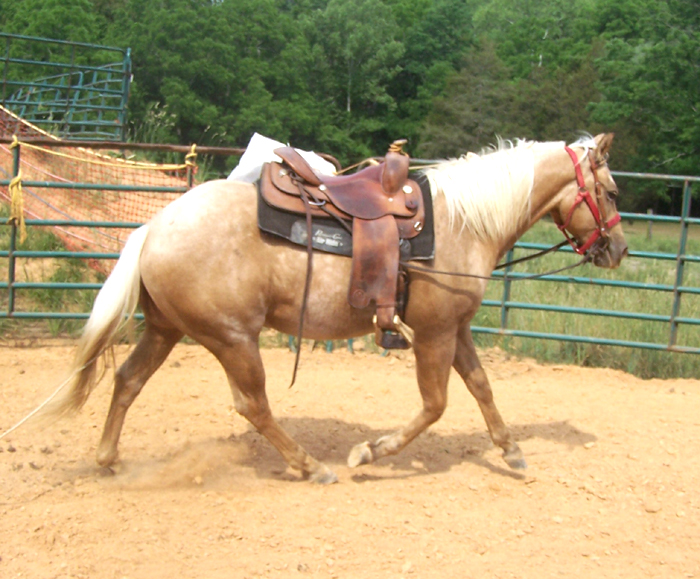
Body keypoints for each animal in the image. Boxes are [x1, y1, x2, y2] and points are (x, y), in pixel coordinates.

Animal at [50, 133, 627, 484]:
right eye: (612, 191)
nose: (619, 249)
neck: (462, 223)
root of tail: (153, 227)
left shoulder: (455, 328)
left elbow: (482, 388)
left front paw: (511, 452)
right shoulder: (434, 332)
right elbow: (436, 405)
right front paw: (368, 452)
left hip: (166, 329)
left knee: (127, 380)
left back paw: (108, 459)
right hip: (232, 338)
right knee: (252, 404)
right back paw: (310, 466)